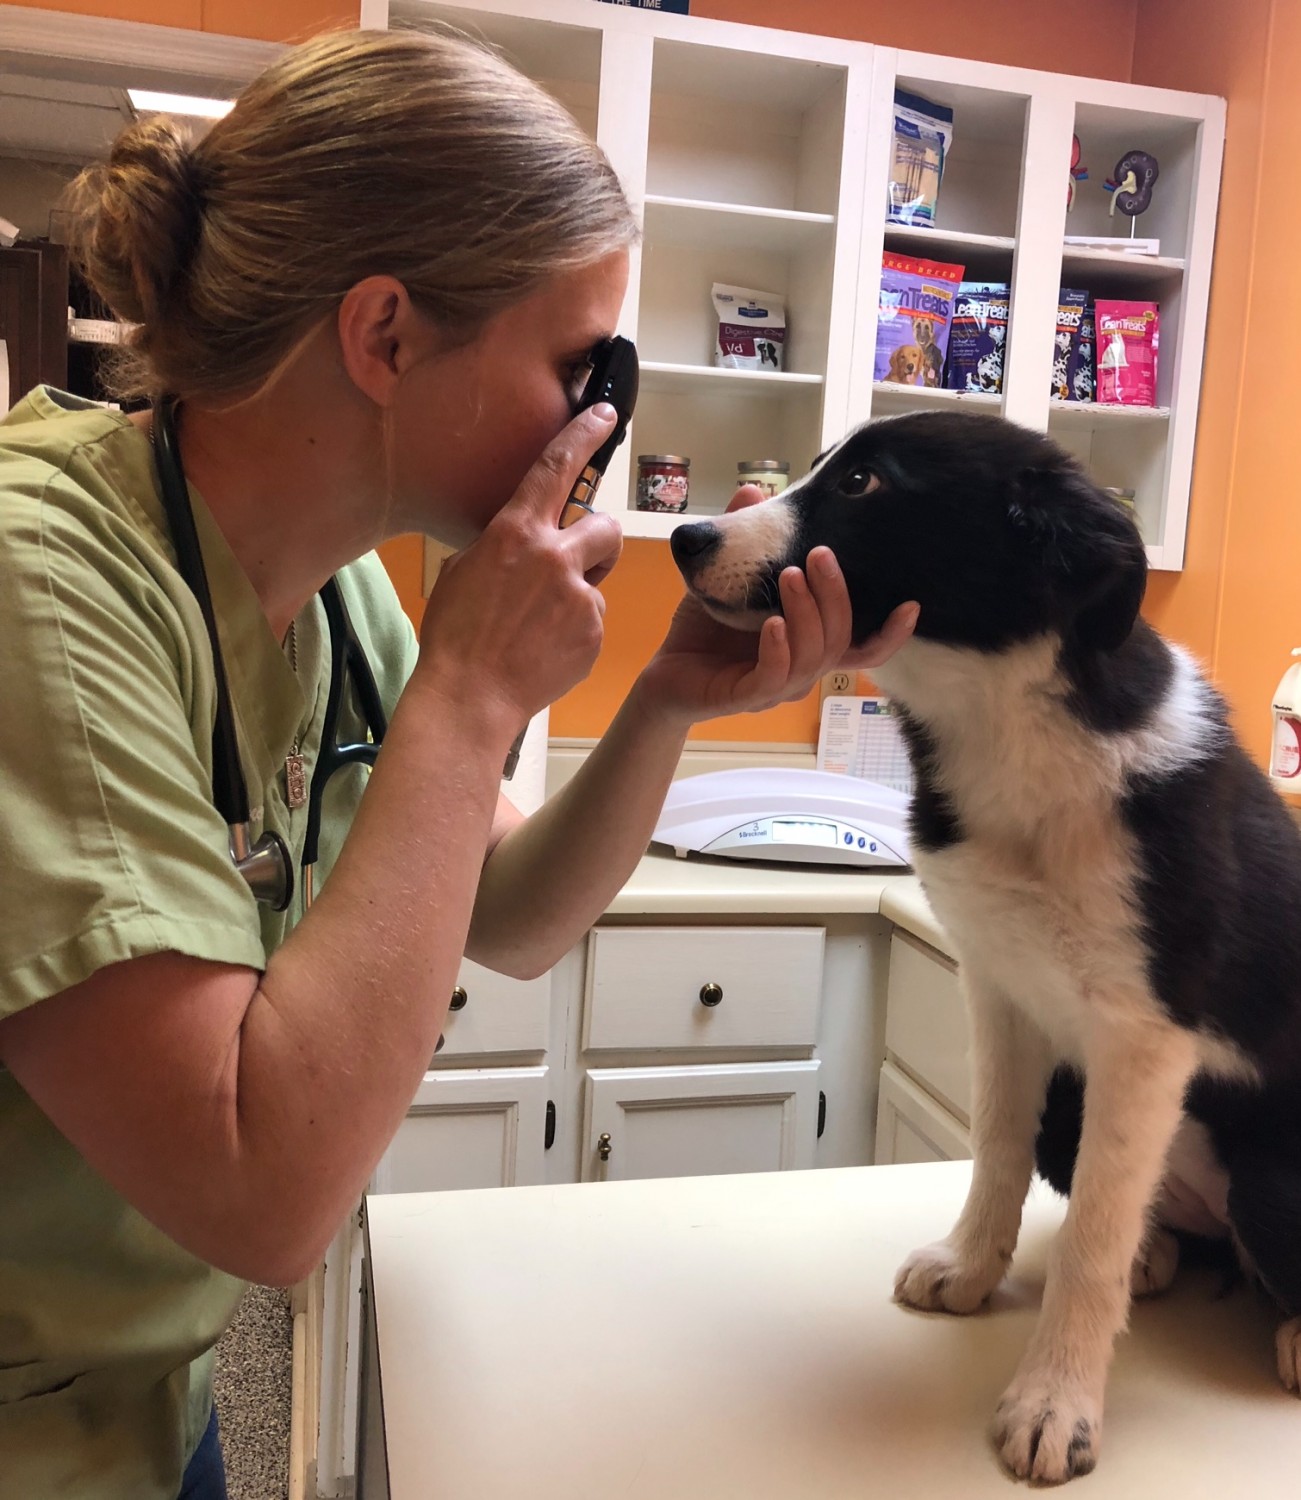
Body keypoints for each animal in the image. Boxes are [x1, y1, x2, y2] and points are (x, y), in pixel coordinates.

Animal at [672, 411, 1301, 1488]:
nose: (684, 537)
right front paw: (971, 1269)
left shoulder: (1142, 1036)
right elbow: (998, 1148)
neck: (1005, 725)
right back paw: (1158, 1256)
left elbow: (1089, 1240)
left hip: (1266, 1175)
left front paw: (1054, 1403)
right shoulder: (996, 989)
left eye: (864, 483)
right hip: (1074, 1110)